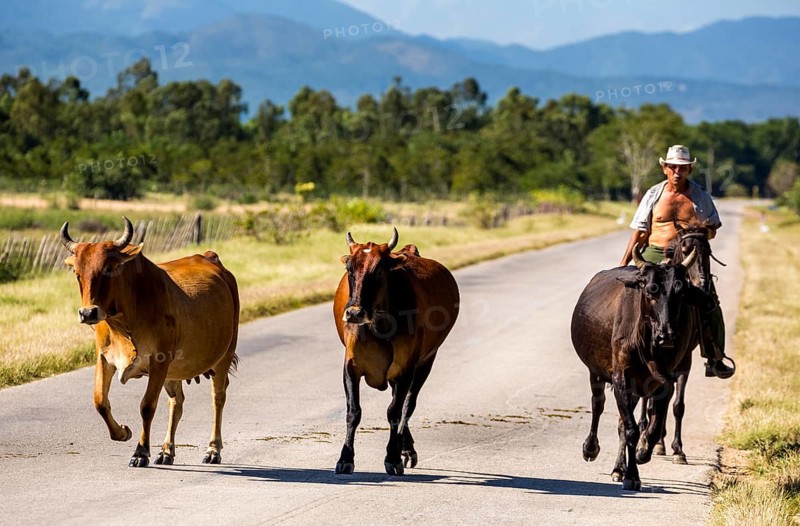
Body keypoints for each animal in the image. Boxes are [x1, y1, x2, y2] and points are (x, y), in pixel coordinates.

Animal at [61, 216, 240, 468]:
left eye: (110, 268)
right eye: (77, 272)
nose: (88, 313)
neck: (123, 323)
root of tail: (210, 257)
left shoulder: (158, 362)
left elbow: (147, 406)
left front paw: (140, 452)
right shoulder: (104, 358)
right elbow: (100, 401)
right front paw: (123, 432)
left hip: (223, 356)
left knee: (218, 398)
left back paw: (213, 450)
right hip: (174, 372)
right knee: (176, 402)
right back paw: (166, 451)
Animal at [332, 228, 459, 475]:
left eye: (379, 269)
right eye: (349, 268)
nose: (354, 313)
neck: (379, 326)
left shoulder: (406, 368)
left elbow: (395, 411)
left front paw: (393, 457)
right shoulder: (350, 366)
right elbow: (353, 411)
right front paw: (345, 458)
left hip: (427, 361)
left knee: (408, 405)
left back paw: (406, 449)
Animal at [571, 245, 702, 490]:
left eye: (680, 292)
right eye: (650, 291)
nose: (666, 335)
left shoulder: (665, 382)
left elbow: (652, 427)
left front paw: (643, 453)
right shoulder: (621, 378)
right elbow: (631, 429)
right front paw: (632, 475)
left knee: (623, 421)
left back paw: (619, 467)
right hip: (596, 374)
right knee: (598, 406)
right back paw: (592, 449)